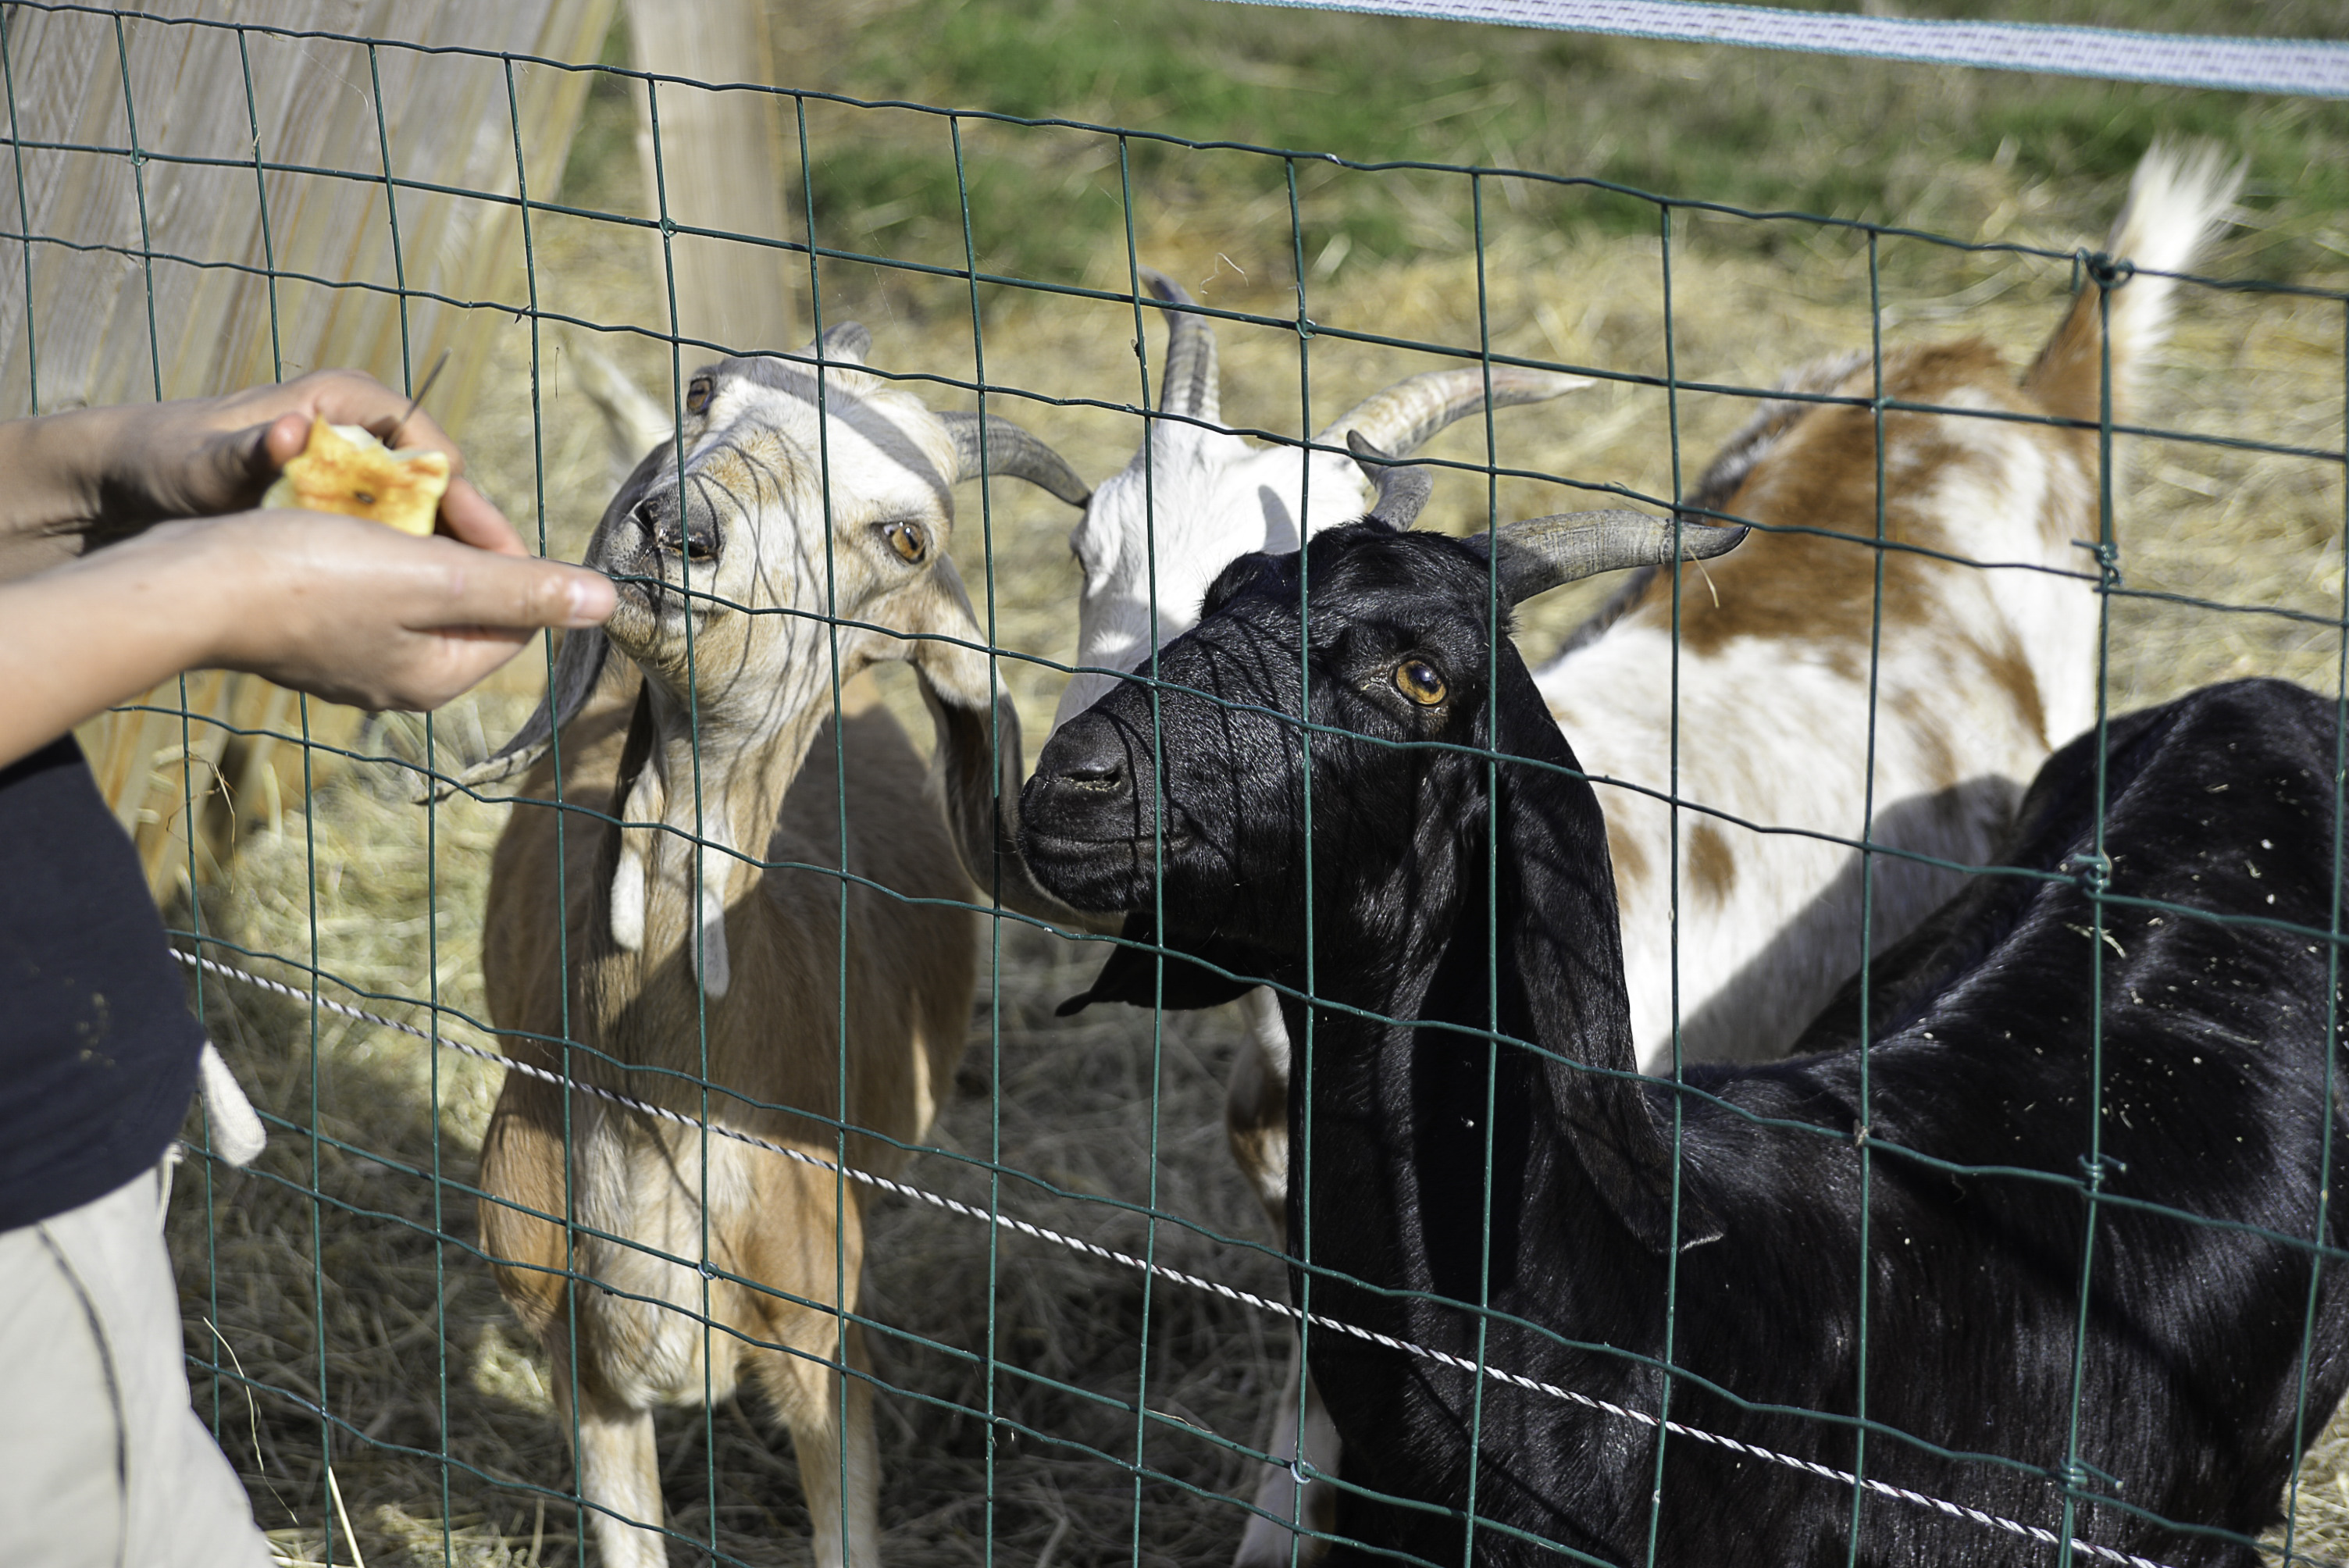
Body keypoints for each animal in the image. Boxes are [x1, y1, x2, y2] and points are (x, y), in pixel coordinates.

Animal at [450, 326, 1092, 1568]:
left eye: (907, 536)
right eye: (706, 393)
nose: (674, 525)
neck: (653, 1110)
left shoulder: (817, 1355)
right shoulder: (577, 1359)